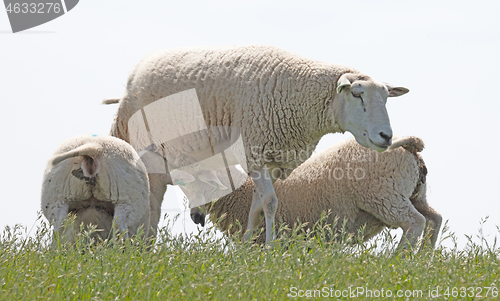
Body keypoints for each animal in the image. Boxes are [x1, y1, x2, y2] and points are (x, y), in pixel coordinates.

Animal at [106, 44, 410, 243]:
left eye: (386, 97)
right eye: (357, 94)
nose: (386, 136)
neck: (298, 94)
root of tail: (139, 69)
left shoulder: (273, 160)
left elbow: (258, 204)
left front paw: (249, 243)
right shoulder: (256, 152)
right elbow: (272, 203)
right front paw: (269, 246)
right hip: (148, 145)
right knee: (151, 193)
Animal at [199, 137, 442, 251]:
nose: (196, 217)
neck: (240, 192)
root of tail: (410, 146)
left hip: (384, 196)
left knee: (415, 223)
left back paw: (397, 258)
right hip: (414, 195)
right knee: (434, 219)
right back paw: (423, 258)